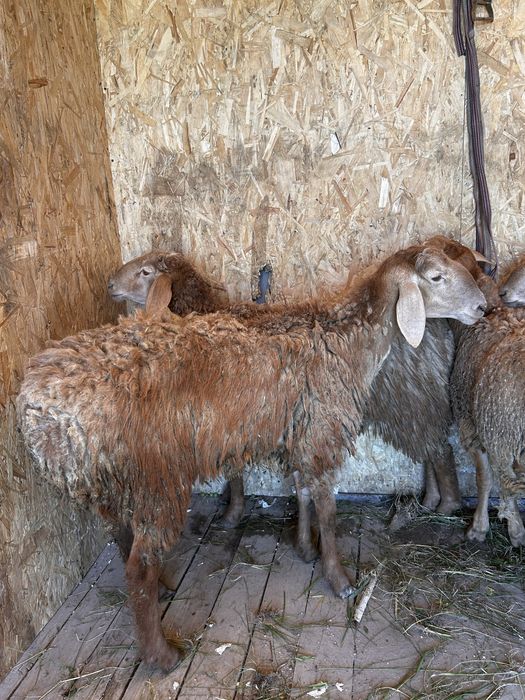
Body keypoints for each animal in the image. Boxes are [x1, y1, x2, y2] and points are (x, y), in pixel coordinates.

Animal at [17, 244, 486, 670]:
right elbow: (328, 509)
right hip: (155, 478)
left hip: (110, 483)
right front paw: (339, 579)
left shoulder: (300, 431)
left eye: (146, 269)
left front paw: (305, 547)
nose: (482, 307)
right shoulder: (321, 430)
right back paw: (161, 655)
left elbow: (302, 491)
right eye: (437, 277)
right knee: (137, 567)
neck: (348, 333)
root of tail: (42, 407)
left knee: (122, 538)